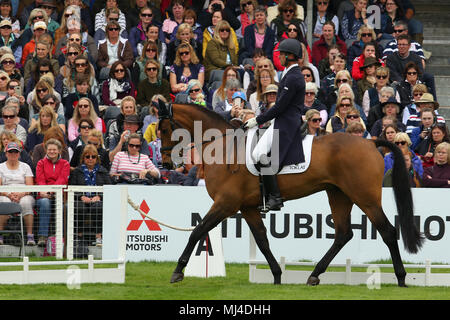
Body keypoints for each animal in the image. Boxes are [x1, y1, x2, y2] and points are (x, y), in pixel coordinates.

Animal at [156, 102, 424, 288]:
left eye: (166, 128)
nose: (166, 164)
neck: (223, 147)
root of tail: (369, 143)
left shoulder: (226, 204)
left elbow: (198, 231)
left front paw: (178, 271)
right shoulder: (247, 207)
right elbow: (262, 240)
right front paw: (276, 275)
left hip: (364, 197)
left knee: (387, 231)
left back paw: (401, 278)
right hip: (339, 195)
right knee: (343, 234)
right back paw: (314, 275)